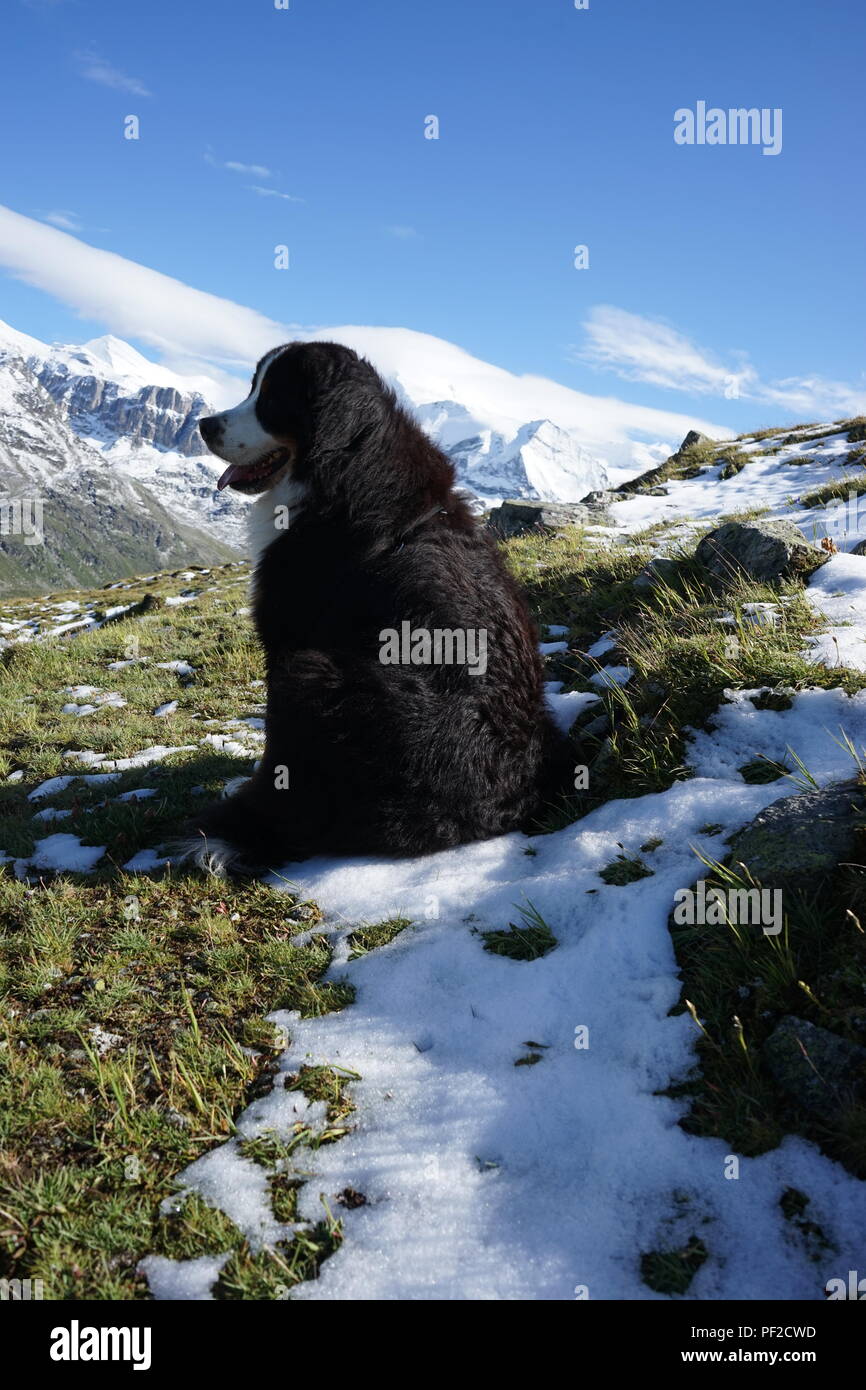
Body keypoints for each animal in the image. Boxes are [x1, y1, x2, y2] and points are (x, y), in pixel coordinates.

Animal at [183, 341, 575, 872]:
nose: (204, 424)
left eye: (271, 399)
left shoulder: (287, 636)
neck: (342, 469)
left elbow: (274, 756)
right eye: (251, 387)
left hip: (311, 675)